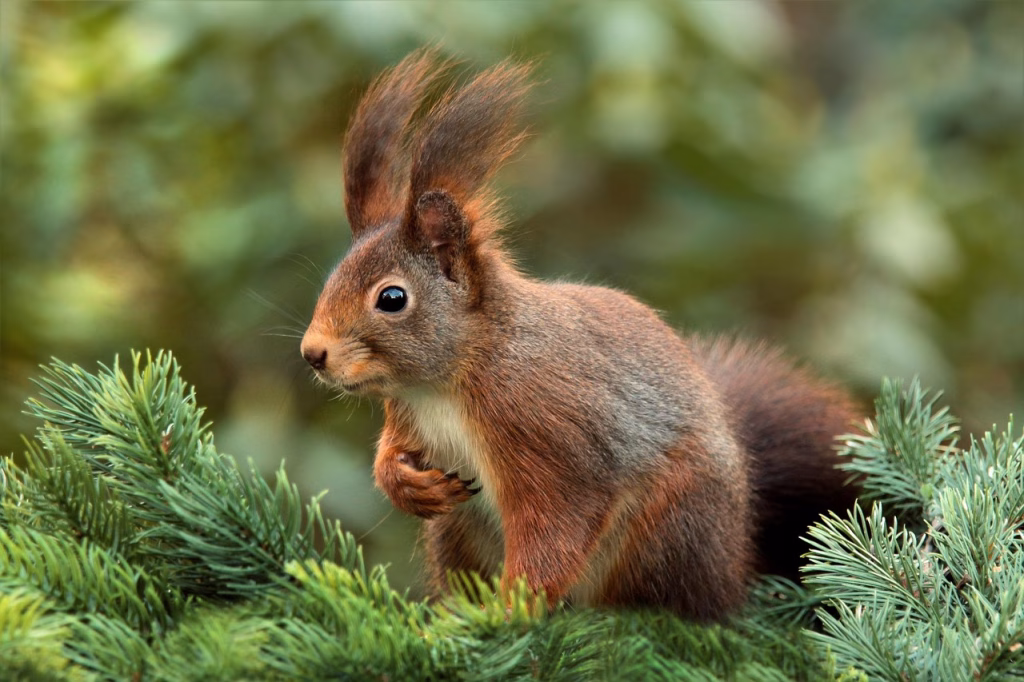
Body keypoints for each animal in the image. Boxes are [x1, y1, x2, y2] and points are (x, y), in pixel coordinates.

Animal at [300, 51, 861, 622]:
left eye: (392, 298)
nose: (312, 353)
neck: (448, 381)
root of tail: (734, 560)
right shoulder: (408, 415)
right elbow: (390, 453)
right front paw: (406, 484)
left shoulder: (547, 431)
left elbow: (556, 525)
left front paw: (510, 611)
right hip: (458, 531)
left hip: (669, 524)